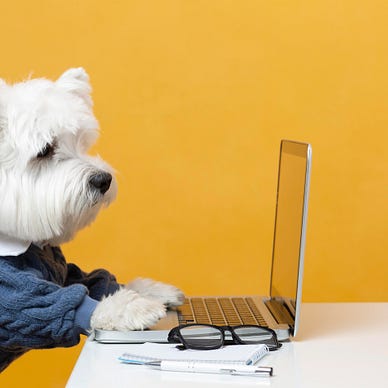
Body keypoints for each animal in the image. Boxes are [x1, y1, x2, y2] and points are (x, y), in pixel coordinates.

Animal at [0, 68, 183, 372]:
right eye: (45, 150)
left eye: (80, 141)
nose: (103, 180)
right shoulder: (13, 295)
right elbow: (59, 303)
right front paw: (134, 307)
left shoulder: (63, 268)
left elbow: (89, 278)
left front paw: (150, 290)